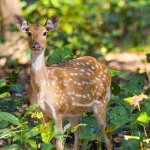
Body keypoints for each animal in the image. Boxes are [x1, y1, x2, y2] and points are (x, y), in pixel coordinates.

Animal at [14, 14, 112, 150]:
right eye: (29, 33)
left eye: (45, 33)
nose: (37, 46)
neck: (41, 88)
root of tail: (105, 67)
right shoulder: (38, 111)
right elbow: (47, 142)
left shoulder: (58, 109)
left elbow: (59, 144)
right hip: (75, 113)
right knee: (79, 136)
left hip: (101, 101)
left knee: (107, 136)